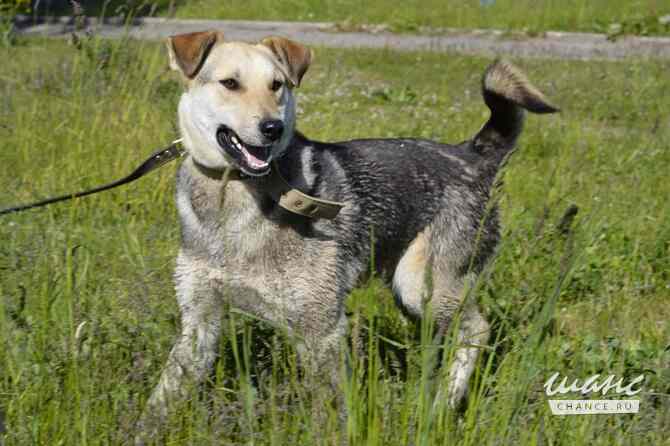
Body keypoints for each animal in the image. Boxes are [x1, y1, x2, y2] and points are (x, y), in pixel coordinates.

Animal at [146, 30, 556, 414]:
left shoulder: (322, 328)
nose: (272, 128)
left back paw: (444, 403)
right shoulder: (199, 325)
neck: (234, 196)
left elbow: (331, 412)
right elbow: (161, 399)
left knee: (478, 329)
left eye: (277, 85)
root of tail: (473, 156)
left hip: (420, 285)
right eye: (230, 83)